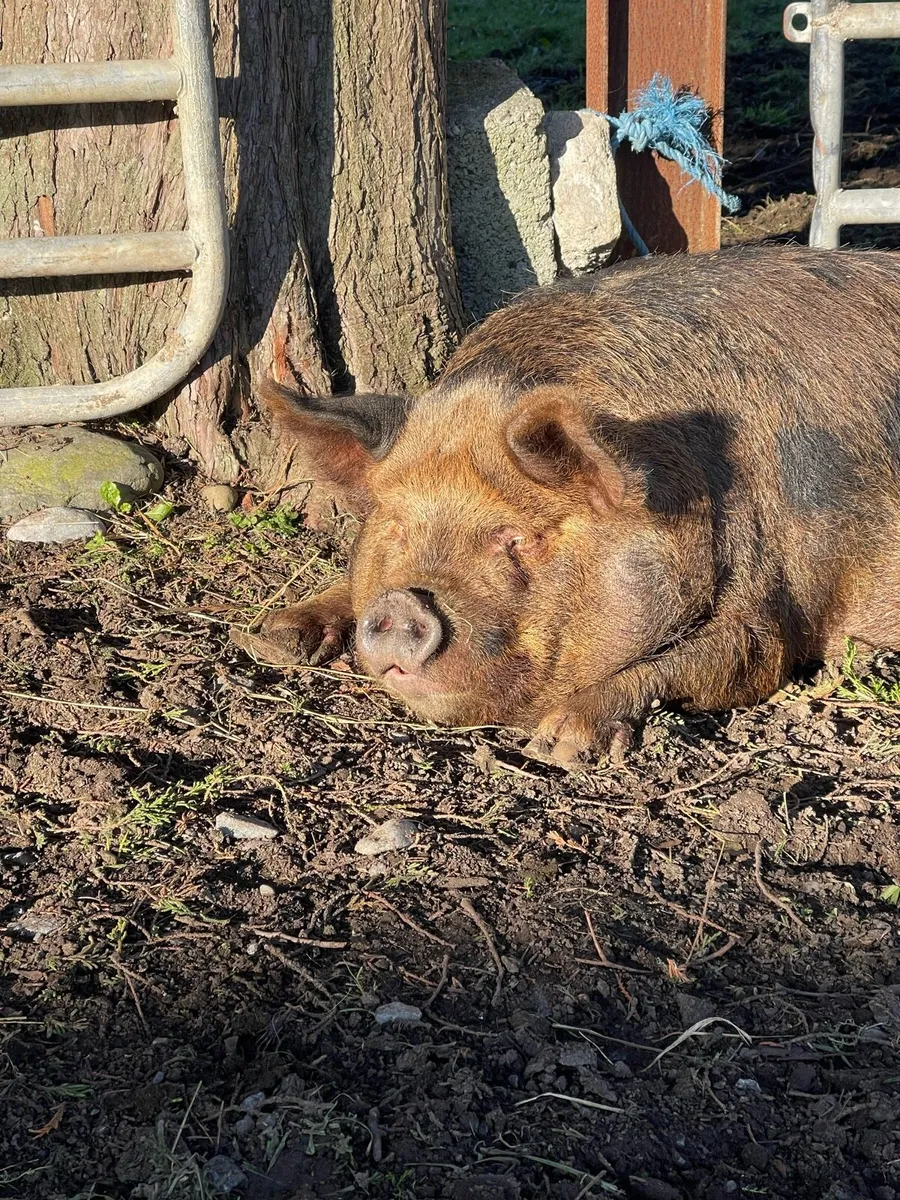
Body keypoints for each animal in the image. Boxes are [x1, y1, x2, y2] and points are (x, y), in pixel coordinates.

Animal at [256, 246, 900, 767]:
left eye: (518, 537)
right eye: (397, 529)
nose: (401, 604)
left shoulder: (771, 603)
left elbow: (739, 656)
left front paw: (559, 742)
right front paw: (269, 637)